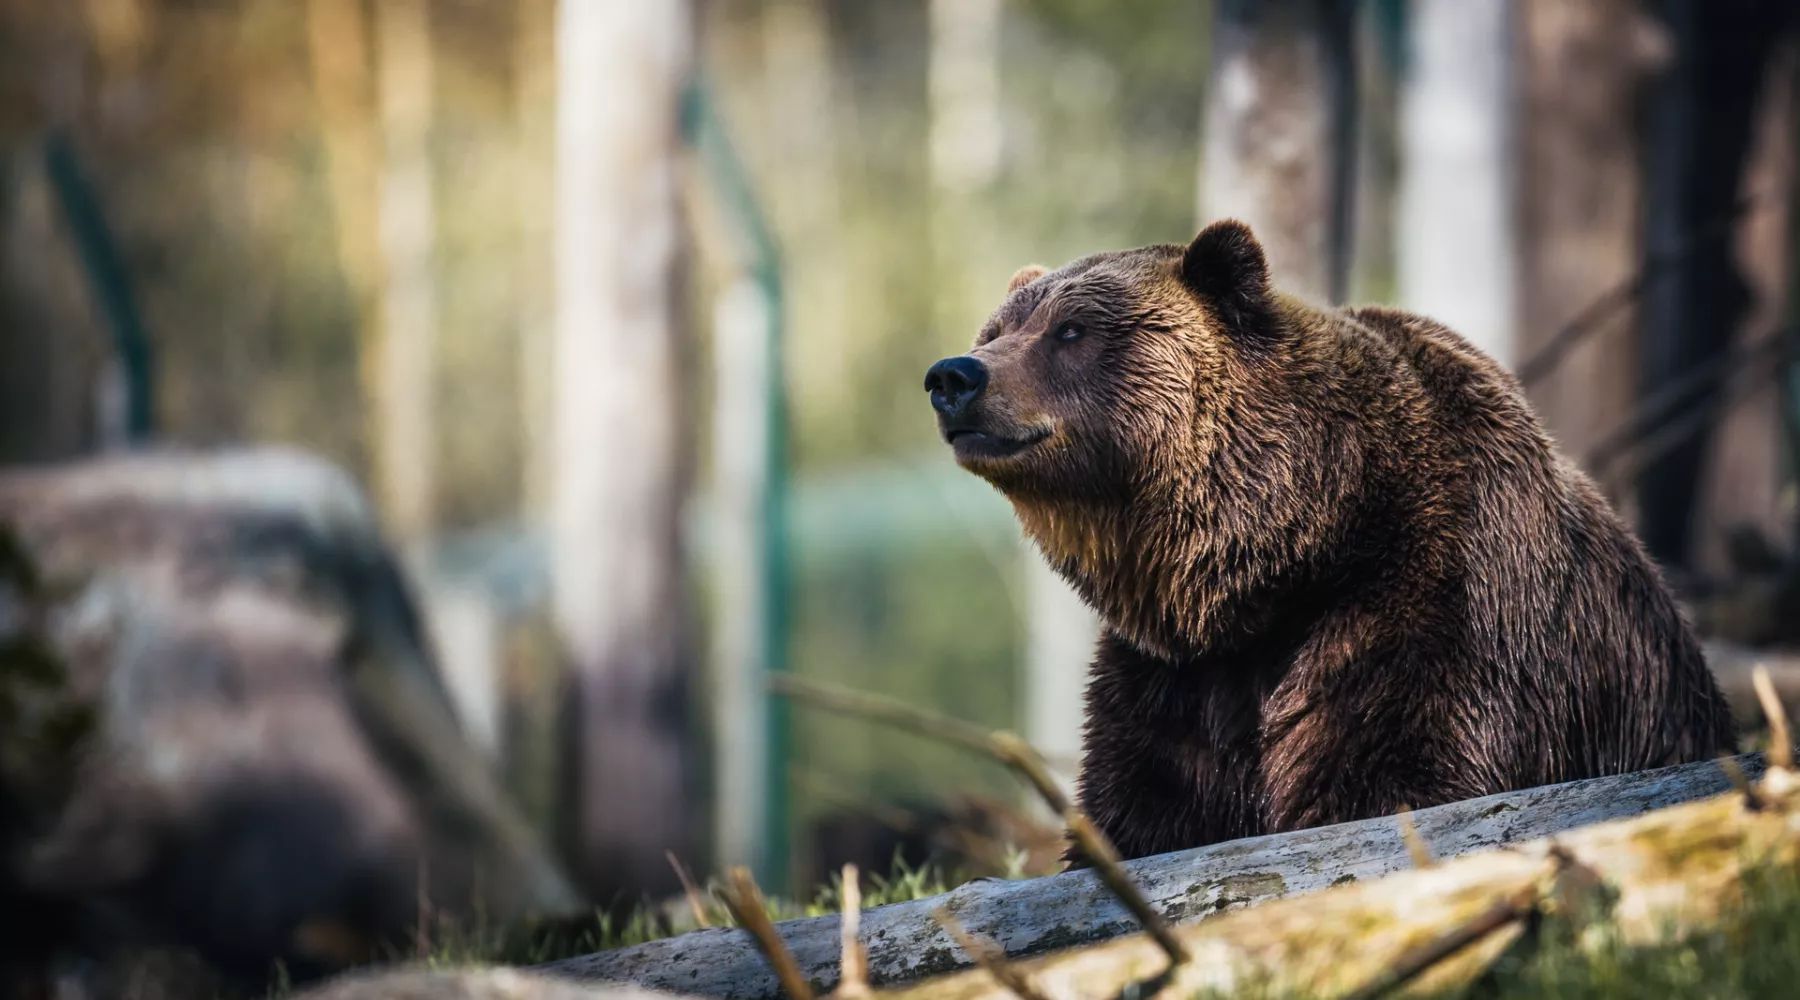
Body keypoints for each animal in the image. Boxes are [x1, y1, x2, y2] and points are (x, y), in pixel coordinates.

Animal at [921, 223, 1735, 863]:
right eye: (996, 331)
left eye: (1071, 331)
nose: (954, 375)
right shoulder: (1175, 679)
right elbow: (1145, 808)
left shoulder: (1436, 604)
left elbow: (1391, 776)